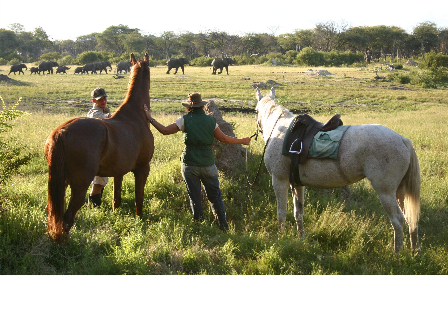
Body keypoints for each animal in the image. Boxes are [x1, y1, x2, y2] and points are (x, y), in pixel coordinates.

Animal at [44, 52, 154, 242]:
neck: (136, 115)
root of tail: (61, 131)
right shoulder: (142, 169)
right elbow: (138, 199)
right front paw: (140, 221)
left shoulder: (118, 172)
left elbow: (116, 198)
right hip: (79, 186)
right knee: (67, 217)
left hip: (60, 184)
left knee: (54, 213)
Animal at [256, 86, 420, 252]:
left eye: (256, 110)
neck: (281, 131)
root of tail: (402, 140)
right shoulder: (297, 184)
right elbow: (299, 213)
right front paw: (301, 239)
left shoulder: (279, 180)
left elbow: (281, 213)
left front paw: (280, 239)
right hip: (400, 192)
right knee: (410, 218)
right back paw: (414, 251)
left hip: (385, 192)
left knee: (397, 220)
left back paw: (397, 253)